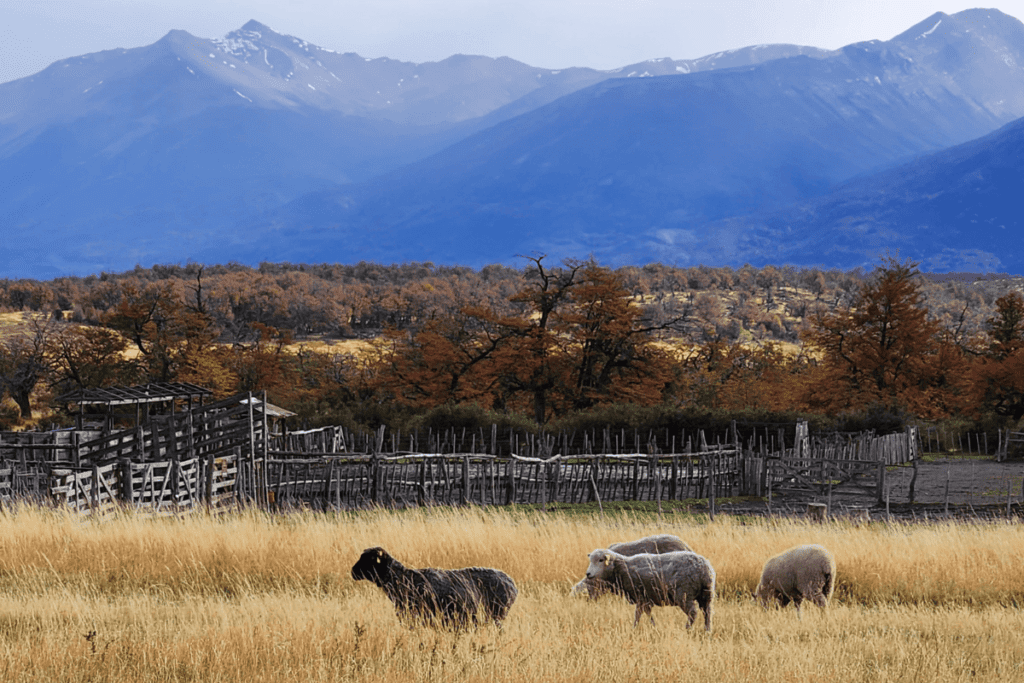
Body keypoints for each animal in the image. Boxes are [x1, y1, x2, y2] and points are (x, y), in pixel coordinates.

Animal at [581, 548, 716, 630]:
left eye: (600, 560)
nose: (588, 574)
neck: (622, 568)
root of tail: (704, 568)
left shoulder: (640, 596)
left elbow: (638, 614)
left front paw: (636, 628)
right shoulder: (646, 599)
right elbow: (646, 614)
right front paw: (652, 626)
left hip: (684, 594)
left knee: (693, 612)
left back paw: (687, 629)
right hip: (706, 594)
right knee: (707, 612)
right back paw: (707, 630)